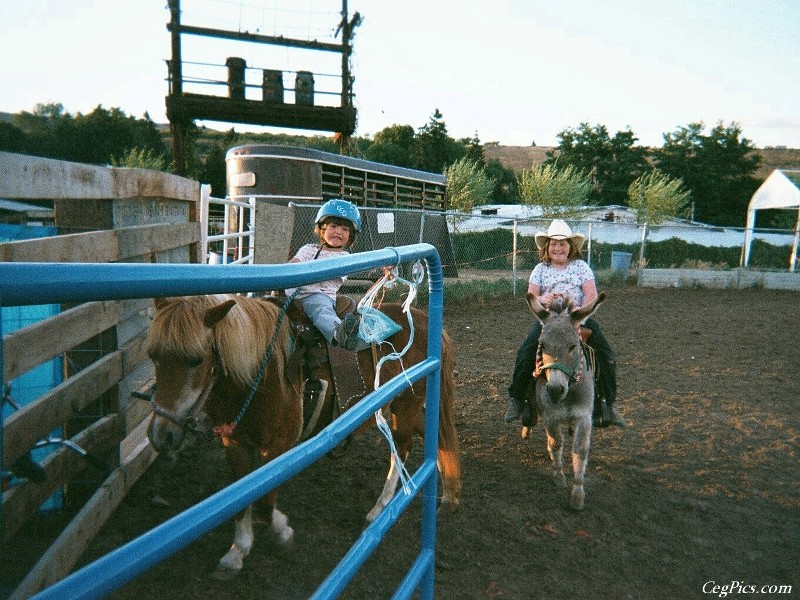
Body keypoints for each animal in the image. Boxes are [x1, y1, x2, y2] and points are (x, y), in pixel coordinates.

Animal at [146, 294, 460, 576]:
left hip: (406, 404)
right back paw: (448, 489)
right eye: (153, 357)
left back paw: (380, 507)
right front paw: (237, 551)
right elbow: (241, 499)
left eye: (196, 360)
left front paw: (283, 532)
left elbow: (264, 504)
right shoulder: (234, 444)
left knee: (402, 447)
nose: (161, 435)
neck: (260, 374)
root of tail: (424, 319)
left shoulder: (279, 448)